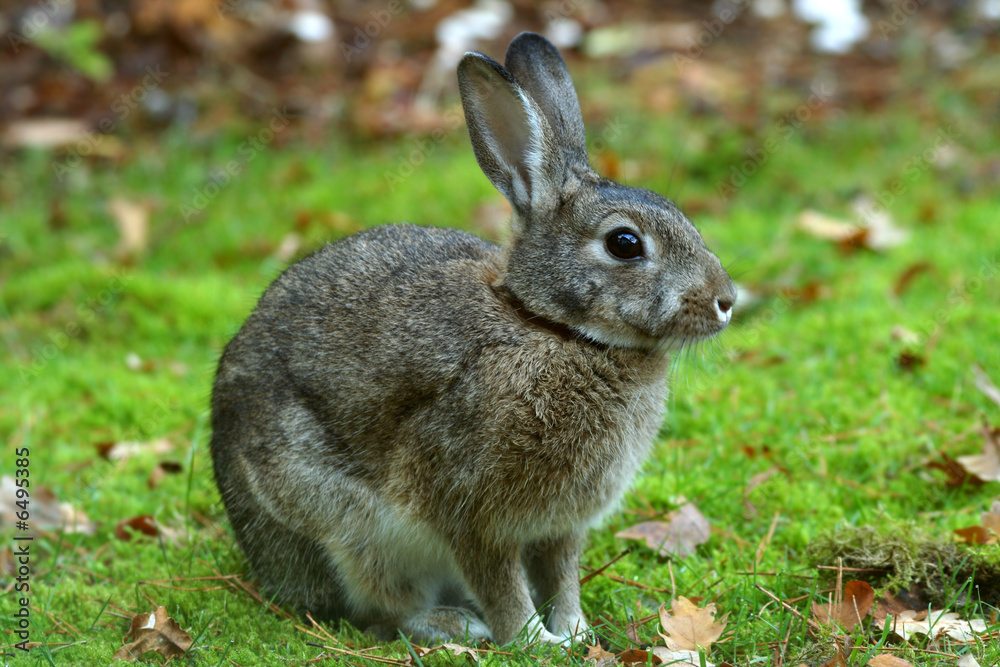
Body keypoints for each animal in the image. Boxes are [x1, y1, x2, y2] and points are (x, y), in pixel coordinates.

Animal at [209, 31, 736, 646]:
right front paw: (534, 642)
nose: (726, 300)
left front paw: (576, 634)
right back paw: (453, 623)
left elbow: (563, 576)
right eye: (624, 243)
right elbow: (500, 583)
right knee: (383, 602)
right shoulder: (471, 509)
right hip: (343, 525)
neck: (550, 327)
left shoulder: (561, 526)